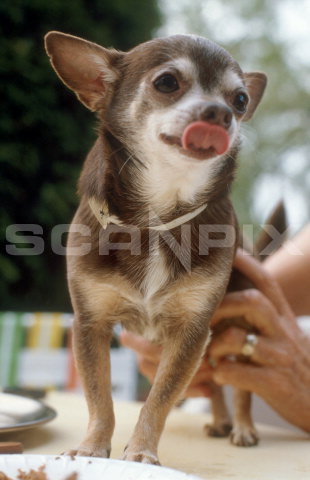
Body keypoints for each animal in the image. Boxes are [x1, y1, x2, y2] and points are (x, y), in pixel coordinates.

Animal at [44, 31, 268, 464]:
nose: (222, 114)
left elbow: (160, 399)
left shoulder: (191, 332)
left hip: (234, 328)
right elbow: (99, 396)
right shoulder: (91, 324)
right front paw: (92, 447)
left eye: (240, 99)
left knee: (240, 386)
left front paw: (141, 452)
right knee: (214, 384)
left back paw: (243, 427)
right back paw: (221, 421)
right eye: (167, 82)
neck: (157, 217)